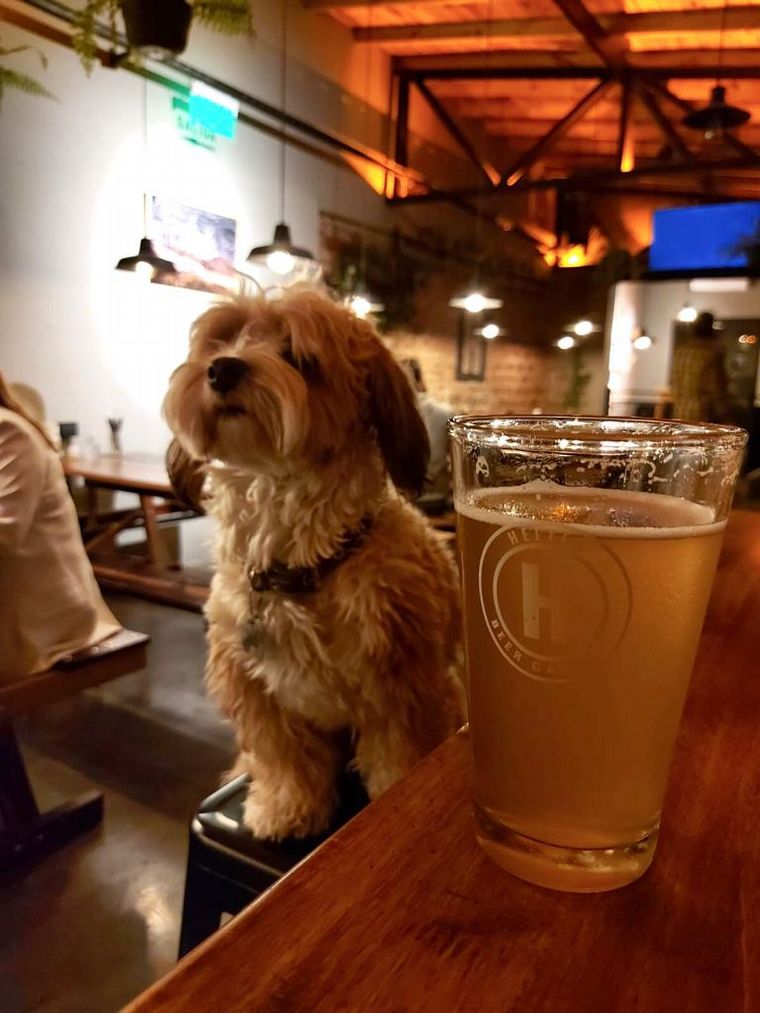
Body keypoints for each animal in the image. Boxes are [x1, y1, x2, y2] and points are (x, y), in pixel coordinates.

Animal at [164, 288, 464, 840]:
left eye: (297, 356)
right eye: (223, 339)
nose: (222, 369)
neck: (300, 565)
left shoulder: (406, 688)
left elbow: (400, 760)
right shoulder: (254, 692)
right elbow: (285, 760)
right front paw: (287, 807)